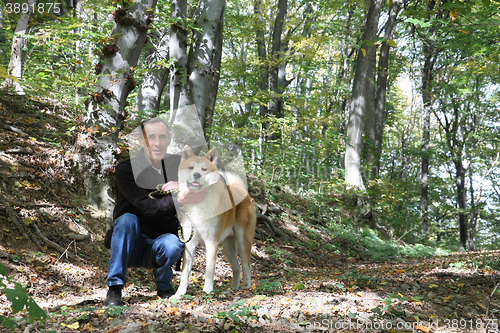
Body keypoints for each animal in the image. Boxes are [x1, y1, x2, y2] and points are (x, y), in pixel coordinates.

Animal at [173, 145, 258, 298]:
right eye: (191, 168)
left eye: (204, 169)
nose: (196, 175)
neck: (198, 202)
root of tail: (241, 189)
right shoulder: (190, 243)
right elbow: (185, 273)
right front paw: (179, 294)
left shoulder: (211, 242)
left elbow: (210, 269)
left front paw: (207, 291)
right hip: (228, 246)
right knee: (237, 267)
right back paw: (232, 289)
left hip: (243, 240)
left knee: (246, 266)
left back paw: (245, 288)